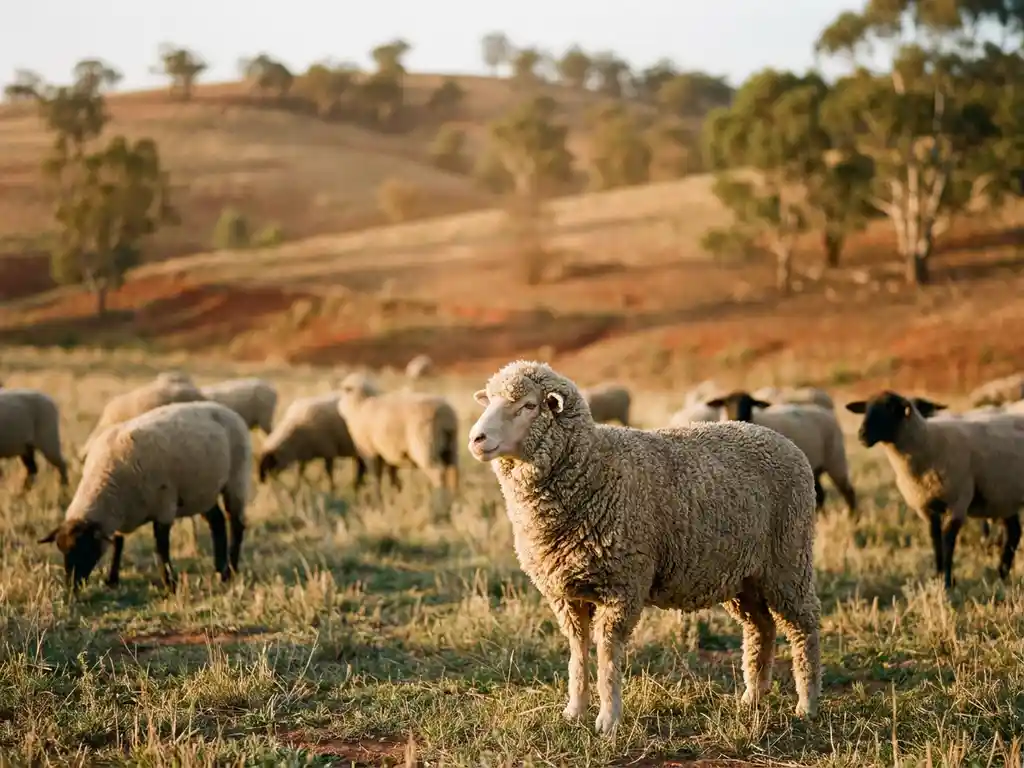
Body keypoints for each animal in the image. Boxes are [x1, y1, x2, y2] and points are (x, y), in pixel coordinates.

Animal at [39, 401, 251, 591]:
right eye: (62, 550)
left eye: (84, 548)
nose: (71, 587)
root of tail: (226, 410)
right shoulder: (120, 514)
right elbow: (118, 544)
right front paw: (112, 580)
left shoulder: (164, 506)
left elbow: (161, 549)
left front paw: (170, 584)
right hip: (201, 492)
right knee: (217, 522)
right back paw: (219, 570)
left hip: (236, 480)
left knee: (236, 524)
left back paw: (230, 571)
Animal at [257, 392, 397, 490]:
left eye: (268, 461)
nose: (262, 482)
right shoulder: (305, 453)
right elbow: (300, 472)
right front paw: (297, 488)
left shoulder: (328, 449)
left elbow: (328, 471)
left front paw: (332, 488)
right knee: (361, 465)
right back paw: (358, 484)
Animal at [467, 360, 821, 736]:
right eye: (488, 400)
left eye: (529, 406)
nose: (476, 439)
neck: (593, 468)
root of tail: (783, 441)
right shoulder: (566, 593)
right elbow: (577, 650)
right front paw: (574, 710)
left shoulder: (622, 585)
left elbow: (608, 654)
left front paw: (608, 719)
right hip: (744, 576)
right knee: (760, 628)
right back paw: (753, 697)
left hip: (789, 560)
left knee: (803, 627)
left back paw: (807, 703)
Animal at [705, 391, 857, 515]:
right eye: (727, 403)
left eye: (750, 403)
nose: (739, 416)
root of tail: (827, 412)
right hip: (815, 466)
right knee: (820, 495)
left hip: (836, 458)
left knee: (848, 492)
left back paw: (853, 520)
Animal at [846, 390, 1024, 589]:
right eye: (866, 408)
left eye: (890, 408)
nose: (862, 435)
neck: (928, 442)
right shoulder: (926, 506)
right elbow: (935, 539)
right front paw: (938, 577)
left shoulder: (957, 501)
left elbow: (948, 541)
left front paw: (947, 581)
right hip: (1004, 496)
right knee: (1014, 532)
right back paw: (1002, 574)